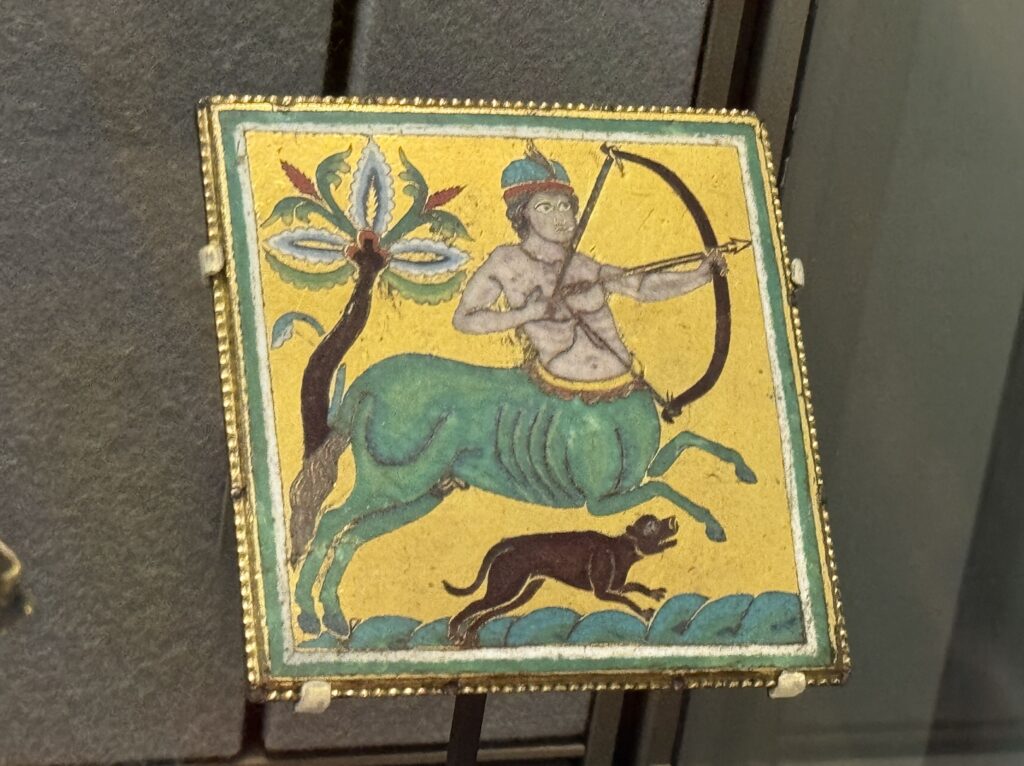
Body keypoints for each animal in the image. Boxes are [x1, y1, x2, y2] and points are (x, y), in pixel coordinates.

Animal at [444, 514, 678, 646]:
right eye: (651, 526)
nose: (673, 520)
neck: (622, 548)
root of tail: (511, 543)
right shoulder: (602, 592)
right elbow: (627, 600)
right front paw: (644, 613)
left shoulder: (617, 586)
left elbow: (636, 587)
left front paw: (653, 594)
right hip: (505, 588)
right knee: (473, 607)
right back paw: (455, 632)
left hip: (520, 592)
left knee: (485, 614)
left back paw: (470, 638)